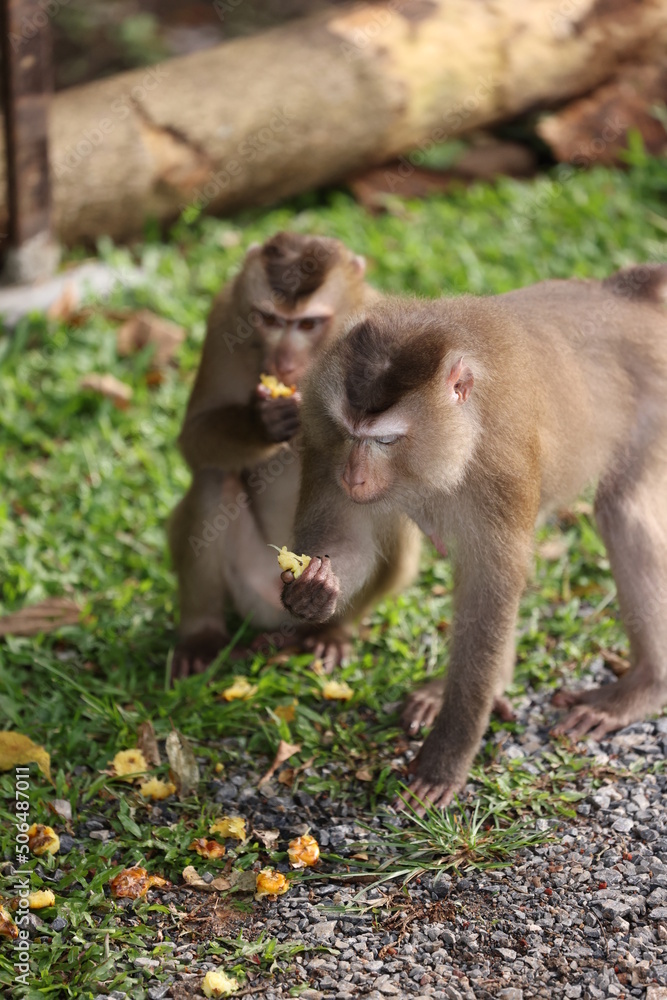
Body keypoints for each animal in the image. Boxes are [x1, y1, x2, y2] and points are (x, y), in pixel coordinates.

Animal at [168, 231, 421, 679]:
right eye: (270, 320)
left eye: (307, 324)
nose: (284, 363)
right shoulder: (224, 318)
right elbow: (195, 438)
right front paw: (264, 420)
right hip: (250, 587)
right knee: (214, 476)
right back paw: (203, 635)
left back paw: (332, 628)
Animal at [280, 264, 667, 814]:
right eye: (350, 432)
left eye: (385, 439)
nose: (353, 477)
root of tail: (621, 292)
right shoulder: (321, 437)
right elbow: (346, 541)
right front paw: (313, 590)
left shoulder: (499, 467)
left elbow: (491, 588)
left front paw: (447, 756)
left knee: (620, 511)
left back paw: (644, 686)